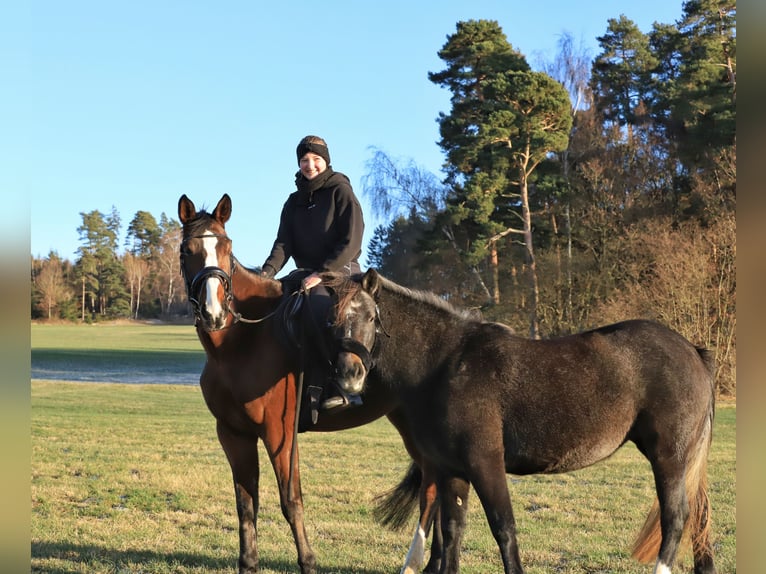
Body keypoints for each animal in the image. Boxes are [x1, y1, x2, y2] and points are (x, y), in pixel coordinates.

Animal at [177, 194, 443, 574]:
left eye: (227, 247)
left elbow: (291, 500)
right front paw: (249, 563)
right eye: (187, 250)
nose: (214, 313)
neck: (245, 341)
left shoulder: (280, 432)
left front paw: (308, 562)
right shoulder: (233, 433)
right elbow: (246, 503)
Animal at [331, 268, 717, 574]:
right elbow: (452, 530)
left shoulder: (484, 462)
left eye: (371, 317)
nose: (350, 376)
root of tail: (692, 350)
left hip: (668, 457)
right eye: (330, 321)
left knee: (676, 518)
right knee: (699, 515)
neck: (445, 364)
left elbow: (503, 528)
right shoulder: (451, 469)